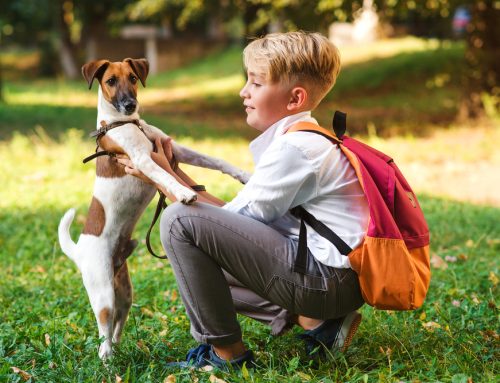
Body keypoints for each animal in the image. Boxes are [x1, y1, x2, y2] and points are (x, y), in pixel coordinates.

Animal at [58, 58, 250, 362]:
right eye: (111, 81)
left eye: (133, 78)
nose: (130, 104)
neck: (126, 123)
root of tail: (78, 250)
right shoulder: (142, 160)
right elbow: (166, 177)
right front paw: (184, 193)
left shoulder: (175, 149)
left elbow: (214, 160)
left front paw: (244, 175)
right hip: (103, 295)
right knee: (103, 337)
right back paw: (108, 362)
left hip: (124, 293)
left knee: (116, 327)